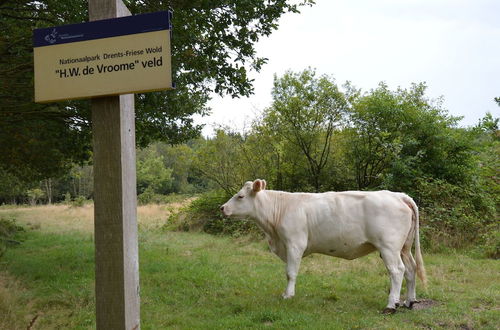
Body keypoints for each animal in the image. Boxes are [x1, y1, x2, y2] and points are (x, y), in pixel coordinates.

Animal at [221, 179, 428, 314]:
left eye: (240, 196)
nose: (222, 208)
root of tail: (398, 195)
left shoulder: (295, 243)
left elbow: (290, 273)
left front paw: (288, 295)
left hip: (389, 247)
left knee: (397, 271)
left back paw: (391, 305)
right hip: (404, 247)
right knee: (411, 269)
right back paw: (409, 302)